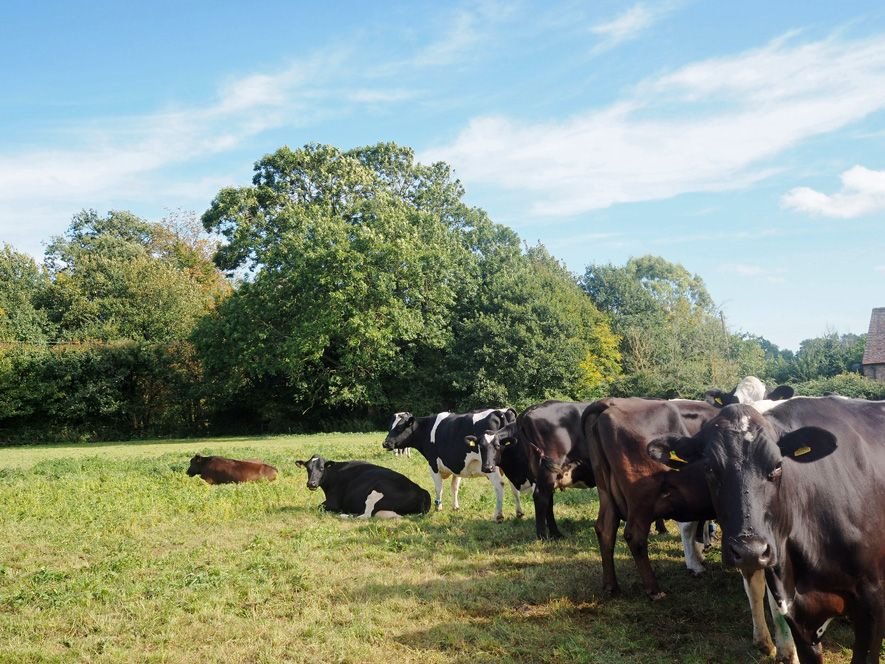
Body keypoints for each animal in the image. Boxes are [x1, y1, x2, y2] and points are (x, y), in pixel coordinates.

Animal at [296, 456, 432, 520]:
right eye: (308, 468)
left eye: (321, 468)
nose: (311, 483)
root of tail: (422, 491)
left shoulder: (333, 502)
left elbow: (318, 507)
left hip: (374, 494)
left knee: (364, 515)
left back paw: (343, 515)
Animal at [382, 408, 516, 520]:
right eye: (389, 427)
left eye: (399, 428)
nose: (385, 443)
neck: (427, 429)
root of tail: (501, 412)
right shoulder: (457, 465)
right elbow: (454, 487)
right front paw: (455, 507)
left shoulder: (433, 464)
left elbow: (438, 488)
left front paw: (438, 507)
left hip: (491, 467)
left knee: (499, 485)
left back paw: (498, 515)